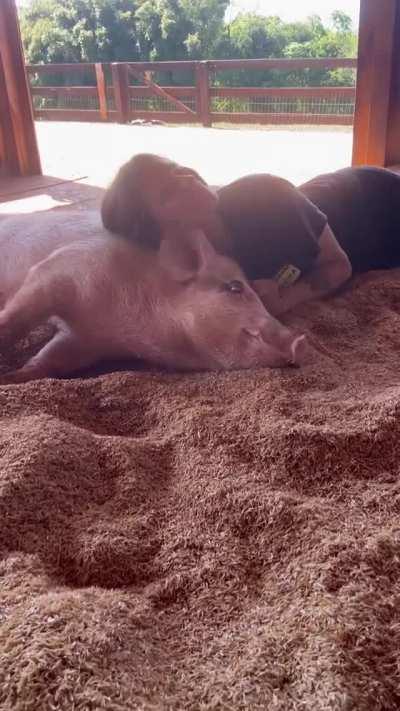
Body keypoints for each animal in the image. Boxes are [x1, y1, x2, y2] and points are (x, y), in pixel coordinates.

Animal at [0, 209, 306, 383]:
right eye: (234, 288)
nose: (299, 340)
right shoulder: (62, 268)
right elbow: (18, 318)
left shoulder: (84, 341)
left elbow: (51, 360)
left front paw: (12, 378)